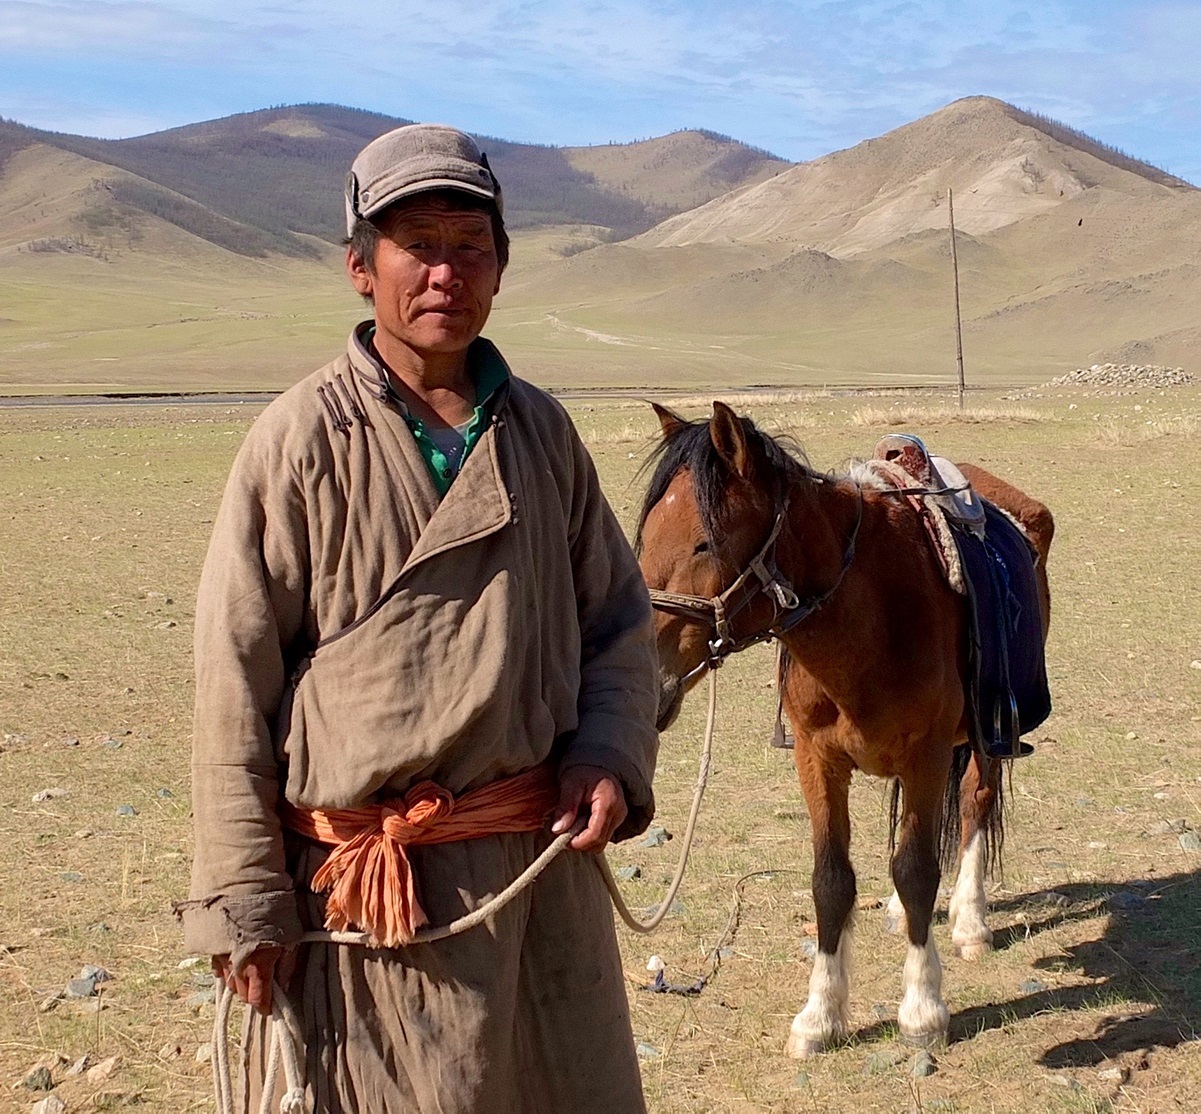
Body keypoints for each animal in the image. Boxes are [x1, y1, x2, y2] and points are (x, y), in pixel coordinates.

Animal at [638, 400, 1052, 1051]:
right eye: (644, 536)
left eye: (705, 543)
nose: (645, 679)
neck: (869, 615)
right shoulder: (817, 758)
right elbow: (831, 881)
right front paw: (821, 1015)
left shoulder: (928, 753)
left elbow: (915, 869)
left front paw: (923, 1010)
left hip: (986, 734)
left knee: (974, 803)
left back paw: (970, 920)